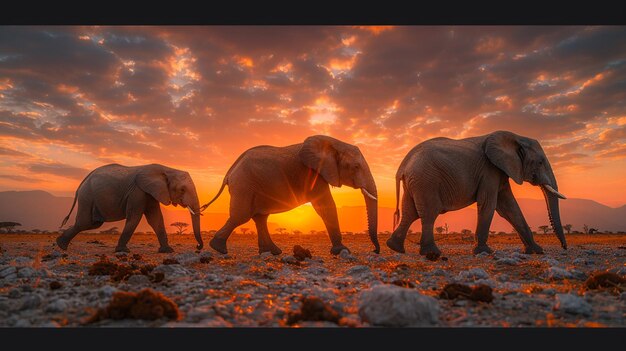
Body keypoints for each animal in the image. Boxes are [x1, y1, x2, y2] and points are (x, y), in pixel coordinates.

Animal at [54, 164, 204, 254]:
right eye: (182, 190)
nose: (198, 247)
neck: (167, 169)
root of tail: (82, 182)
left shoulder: (151, 193)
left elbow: (155, 219)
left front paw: (167, 251)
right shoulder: (137, 192)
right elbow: (135, 217)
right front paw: (122, 251)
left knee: (91, 223)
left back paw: (61, 245)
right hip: (87, 196)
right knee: (85, 222)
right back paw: (61, 245)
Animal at [386, 131, 564, 258]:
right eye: (540, 162)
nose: (565, 247)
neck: (516, 137)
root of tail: (403, 165)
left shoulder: (500, 171)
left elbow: (510, 208)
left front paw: (536, 251)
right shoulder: (489, 170)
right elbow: (489, 204)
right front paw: (484, 252)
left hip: (415, 183)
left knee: (410, 213)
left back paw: (395, 247)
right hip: (426, 181)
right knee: (429, 213)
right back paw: (432, 253)